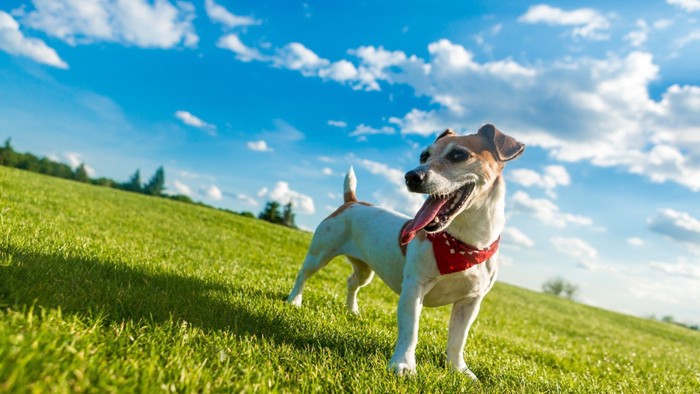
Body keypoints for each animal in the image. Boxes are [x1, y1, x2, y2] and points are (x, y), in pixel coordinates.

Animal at [288, 124, 524, 378]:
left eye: (458, 155)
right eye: (423, 156)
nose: (411, 176)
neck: (463, 244)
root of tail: (352, 202)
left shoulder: (471, 301)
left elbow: (458, 340)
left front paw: (459, 370)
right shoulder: (413, 288)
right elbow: (410, 330)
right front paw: (403, 365)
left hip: (365, 270)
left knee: (352, 282)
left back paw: (352, 310)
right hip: (320, 252)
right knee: (303, 274)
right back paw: (294, 300)